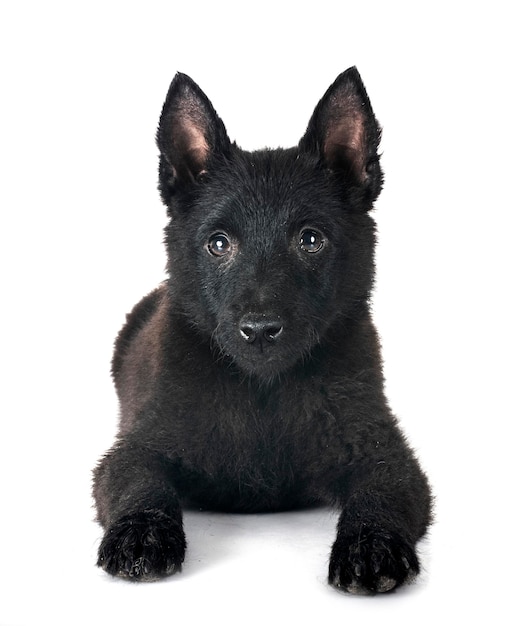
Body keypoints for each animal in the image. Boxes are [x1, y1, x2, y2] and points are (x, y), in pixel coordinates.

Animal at [94, 67, 434, 588]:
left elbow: (379, 495)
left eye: (310, 240)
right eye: (219, 243)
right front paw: (141, 534)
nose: (258, 330)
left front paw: (371, 545)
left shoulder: (386, 455)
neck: (263, 390)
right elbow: (143, 484)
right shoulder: (135, 448)